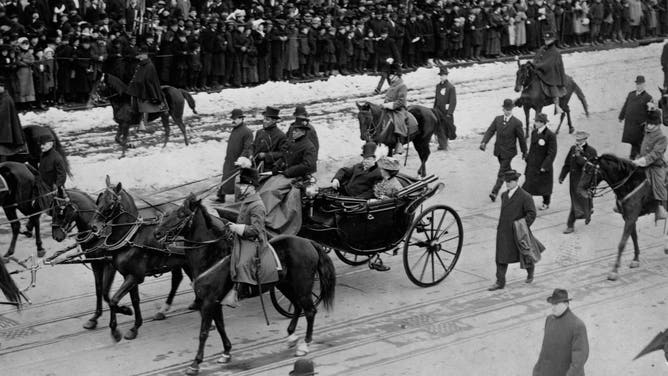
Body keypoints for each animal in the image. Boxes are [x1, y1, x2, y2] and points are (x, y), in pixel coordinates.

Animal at [49, 188, 187, 328]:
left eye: (60, 210)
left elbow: (105, 292)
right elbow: (99, 288)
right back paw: (165, 309)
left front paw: (124, 310)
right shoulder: (96, 264)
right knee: (177, 278)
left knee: (178, 278)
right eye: (52, 210)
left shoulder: (109, 265)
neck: (100, 235)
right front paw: (95, 317)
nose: (56, 235)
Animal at [88, 176, 194, 340]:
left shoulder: (135, 276)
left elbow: (114, 300)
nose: (94, 226)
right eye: (98, 199)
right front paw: (134, 325)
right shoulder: (129, 275)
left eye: (111, 203)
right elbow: (134, 300)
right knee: (182, 278)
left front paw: (116, 328)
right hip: (182, 261)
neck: (131, 238)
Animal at [155, 194, 336, 376]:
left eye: (181, 213)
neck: (212, 255)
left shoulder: (208, 302)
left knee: (310, 311)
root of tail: (309, 242)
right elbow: (220, 326)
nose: (157, 233)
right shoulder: (215, 302)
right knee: (297, 306)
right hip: (285, 285)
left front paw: (195, 363)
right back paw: (291, 336)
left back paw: (304, 345)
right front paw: (226, 353)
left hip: (302, 286)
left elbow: (204, 332)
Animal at [576, 152, 664, 280]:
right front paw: (636, 259)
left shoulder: (631, 217)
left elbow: (622, 244)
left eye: (589, 170)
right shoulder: (628, 217)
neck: (629, 183)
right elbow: (634, 237)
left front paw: (614, 270)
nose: (579, 190)